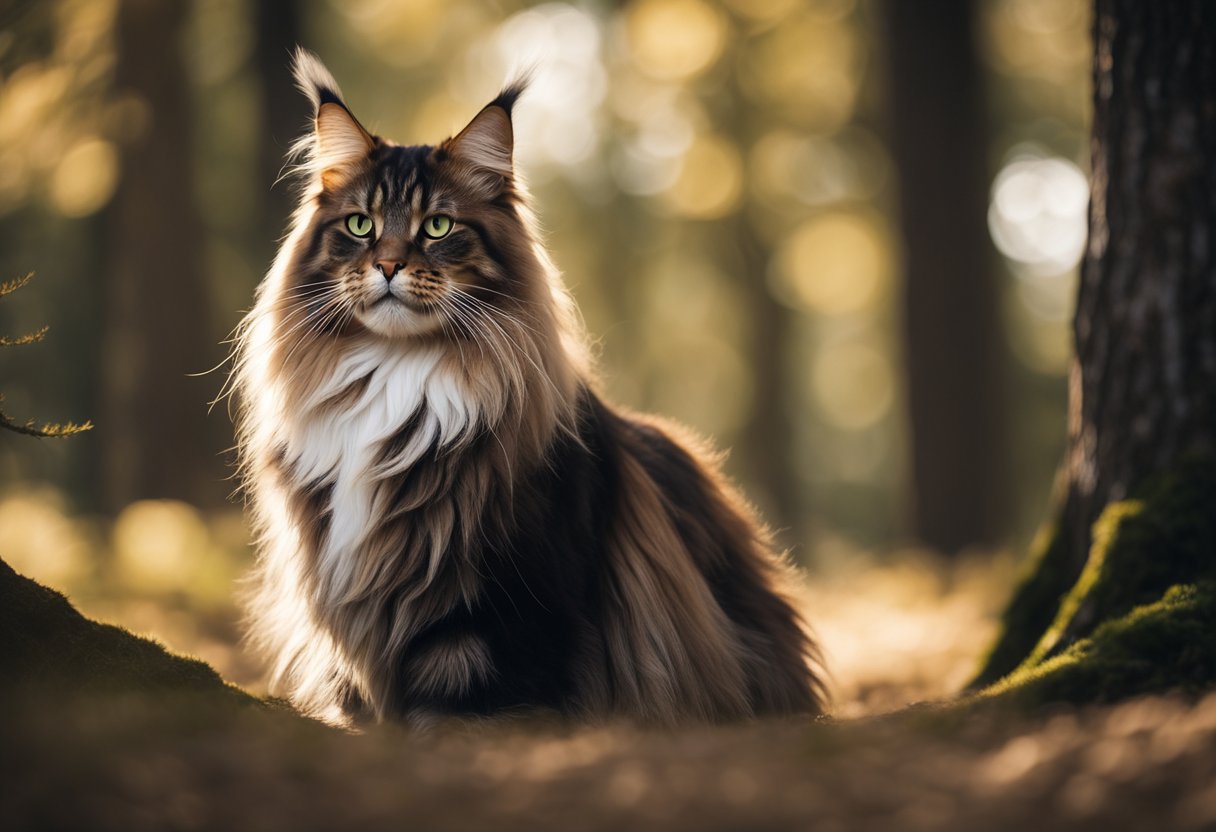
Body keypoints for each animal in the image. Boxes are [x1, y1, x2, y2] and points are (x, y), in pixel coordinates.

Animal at [234, 50, 826, 729]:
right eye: (360, 225)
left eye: (438, 226)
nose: (386, 265)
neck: (395, 377)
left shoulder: (509, 601)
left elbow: (473, 704)